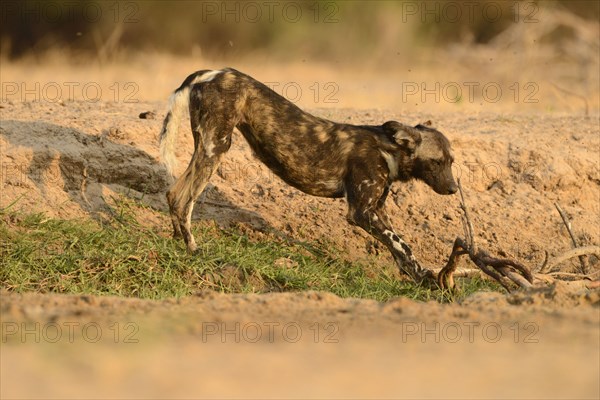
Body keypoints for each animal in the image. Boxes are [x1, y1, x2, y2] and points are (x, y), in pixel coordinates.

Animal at [157, 68, 458, 284]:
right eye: (437, 162)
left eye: (451, 162)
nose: (454, 188)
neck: (389, 150)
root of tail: (210, 72)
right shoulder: (361, 213)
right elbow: (402, 244)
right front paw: (428, 280)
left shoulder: (376, 210)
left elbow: (401, 250)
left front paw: (419, 277)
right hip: (216, 148)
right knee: (185, 200)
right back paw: (193, 248)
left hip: (206, 149)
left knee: (173, 194)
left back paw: (176, 240)